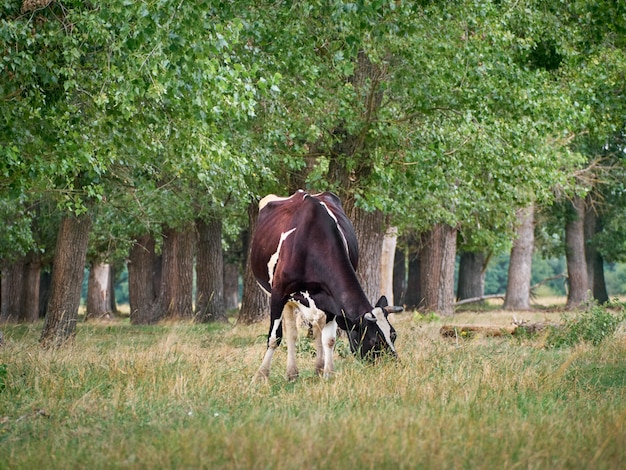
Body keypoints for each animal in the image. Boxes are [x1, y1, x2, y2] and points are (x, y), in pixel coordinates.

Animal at [247, 189, 398, 380]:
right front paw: (261, 375)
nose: (393, 366)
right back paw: (292, 372)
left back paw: (317, 367)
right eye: (374, 340)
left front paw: (328, 373)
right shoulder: (278, 293)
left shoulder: (331, 299)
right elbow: (275, 337)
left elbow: (329, 339)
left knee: (316, 328)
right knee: (292, 333)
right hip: (284, 298)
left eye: (393, 335)